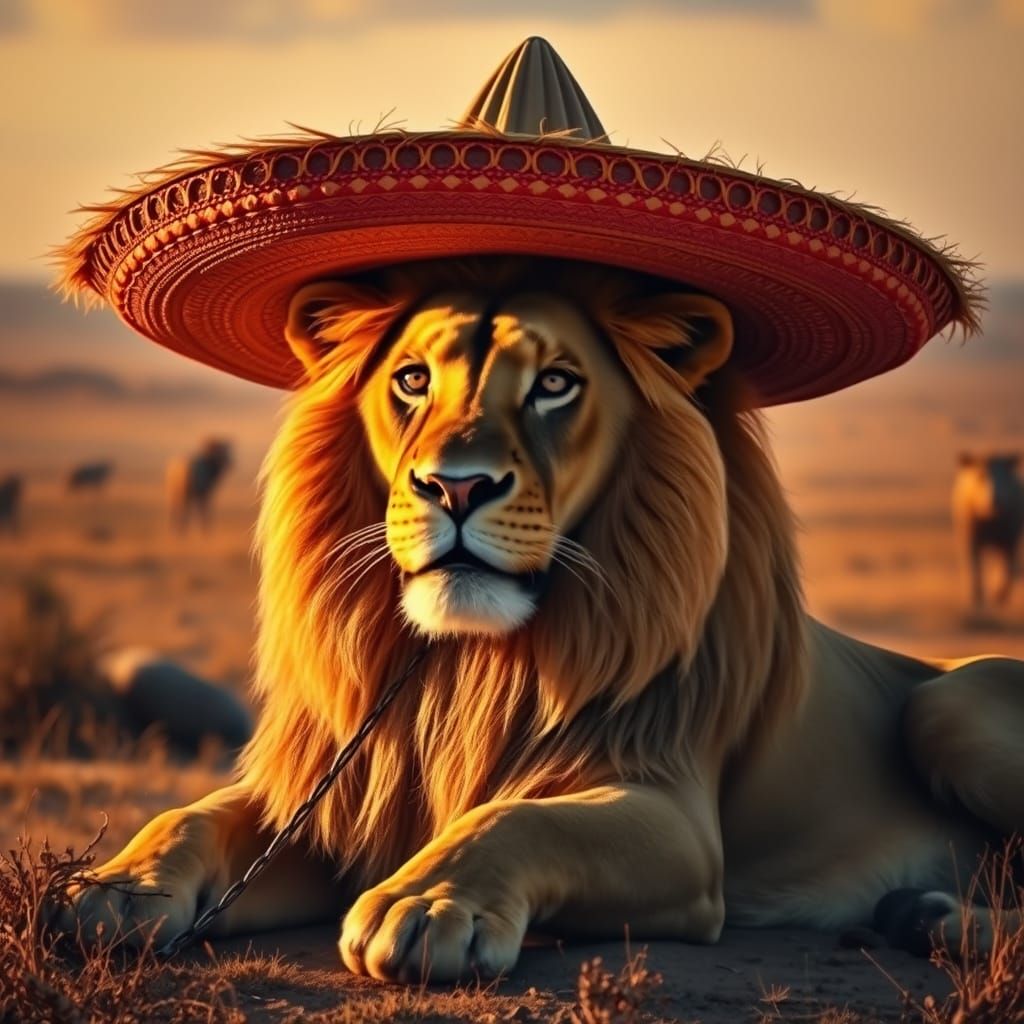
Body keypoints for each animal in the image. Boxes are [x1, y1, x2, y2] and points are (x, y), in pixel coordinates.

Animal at [65, 256, 1024, 981]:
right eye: (412, 380)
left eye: (556, 385)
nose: (455, 488)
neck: (464, 665)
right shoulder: (339, 802)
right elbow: (193, 815)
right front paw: (117, 886)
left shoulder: (678, 823)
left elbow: (517, 817)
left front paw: (425, 904)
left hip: (949, 705)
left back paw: (934, 918)